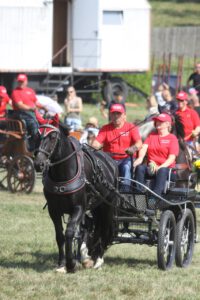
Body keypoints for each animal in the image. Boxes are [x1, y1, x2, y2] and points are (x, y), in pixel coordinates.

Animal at [34, 119, 119, 272]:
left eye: (53, 137)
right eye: (37, 135)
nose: (39, 163)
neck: (63, 175)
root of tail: (111, 162)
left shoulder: (79, 207)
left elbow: (69, 232)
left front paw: (71, 264)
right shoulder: (53, 210)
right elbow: (60, 236)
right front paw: (62, 264)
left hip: (107, 206)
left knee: (104, 230)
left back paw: (98, 260)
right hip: (96, 207)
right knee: (93, 228)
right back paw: (88, 257)